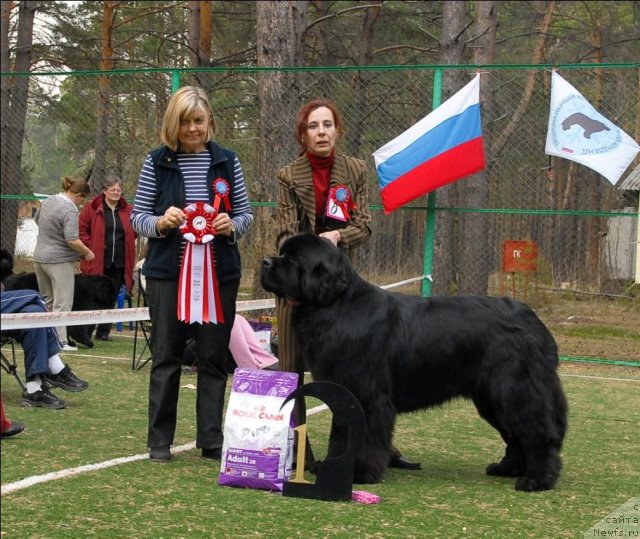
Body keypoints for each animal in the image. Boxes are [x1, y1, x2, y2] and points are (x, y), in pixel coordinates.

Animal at [262, 234, 568, 492]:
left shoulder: (370, 396)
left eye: (292, 259)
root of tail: (534, 321)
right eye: (281, 253)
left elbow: (366, 436)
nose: (265, 261)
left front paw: (361, 473)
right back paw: (508, 469)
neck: (337, 307)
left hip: (514, 391)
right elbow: (341, 435)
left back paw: (537, 479)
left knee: (538, 433)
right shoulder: (342, 392)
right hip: (491, 399)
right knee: (515, 435)